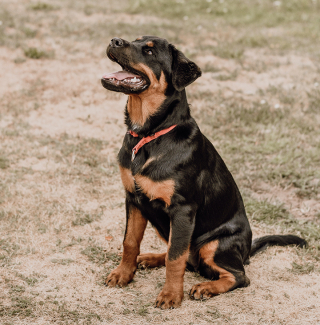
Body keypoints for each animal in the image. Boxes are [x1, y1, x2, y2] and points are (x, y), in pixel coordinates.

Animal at [100, 36, 308, 308]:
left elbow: (175, 257)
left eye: (149, 51)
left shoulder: (183, 209)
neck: (149, 135)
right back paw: (151, 258)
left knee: (237, 275)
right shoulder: (133, 199)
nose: (114, 40)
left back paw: (205, 287)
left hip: (214, 245)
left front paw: (170, 295)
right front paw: (124, 274)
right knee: (186, 258)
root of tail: (246, 251)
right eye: (134, 40)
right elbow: (130, 242)